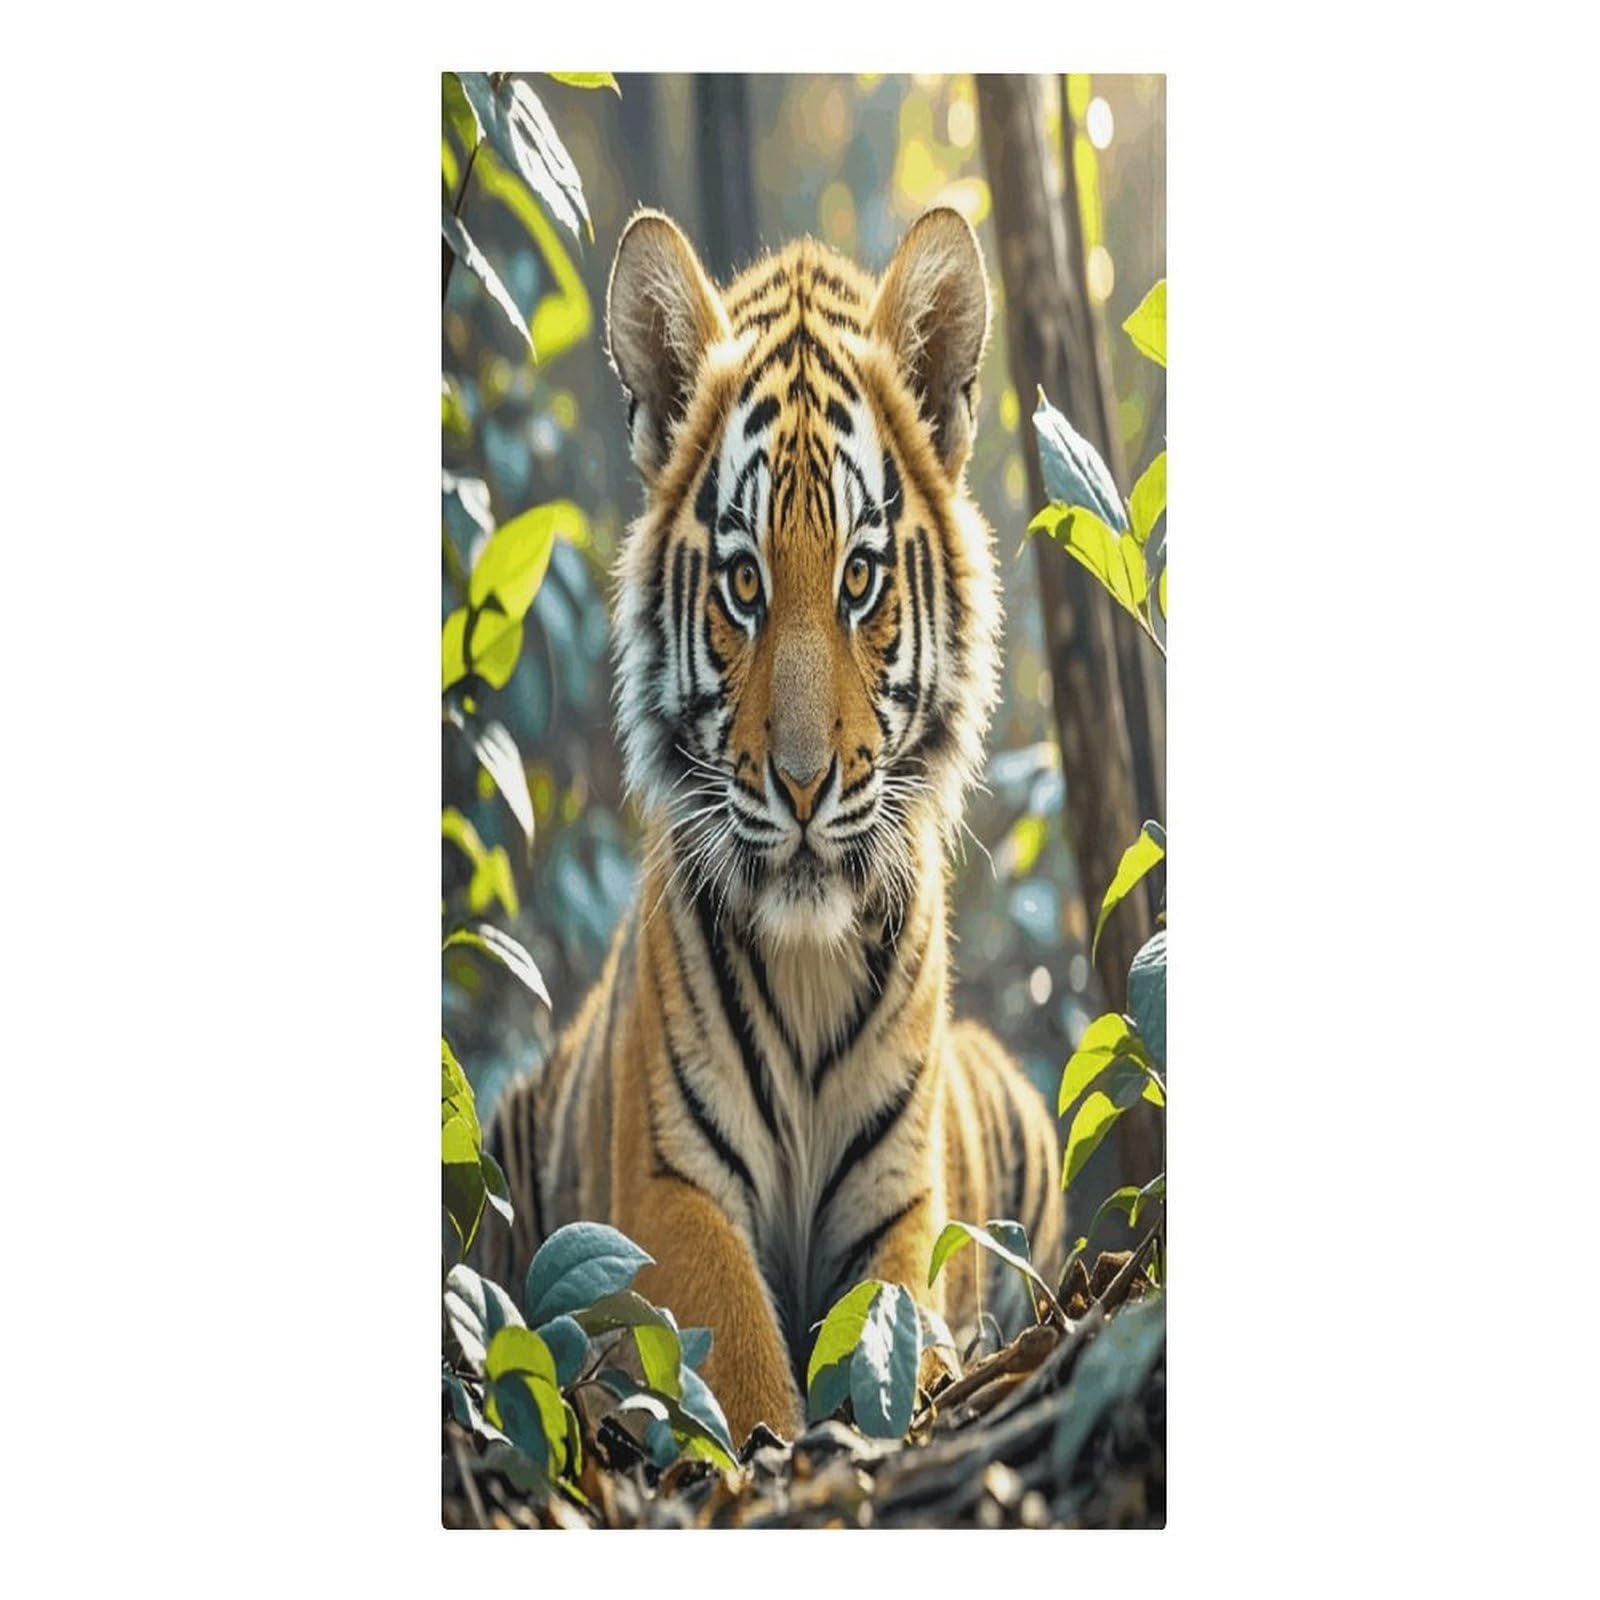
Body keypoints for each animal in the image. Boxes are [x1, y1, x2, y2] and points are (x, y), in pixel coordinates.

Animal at [482, 205, 1064, 1446]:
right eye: (743, 584)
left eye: (858, 578)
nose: (801, 784)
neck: (808, 957)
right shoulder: (664, 1192)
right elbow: (736, 1356)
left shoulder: (903, 1198)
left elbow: (891, 1322)